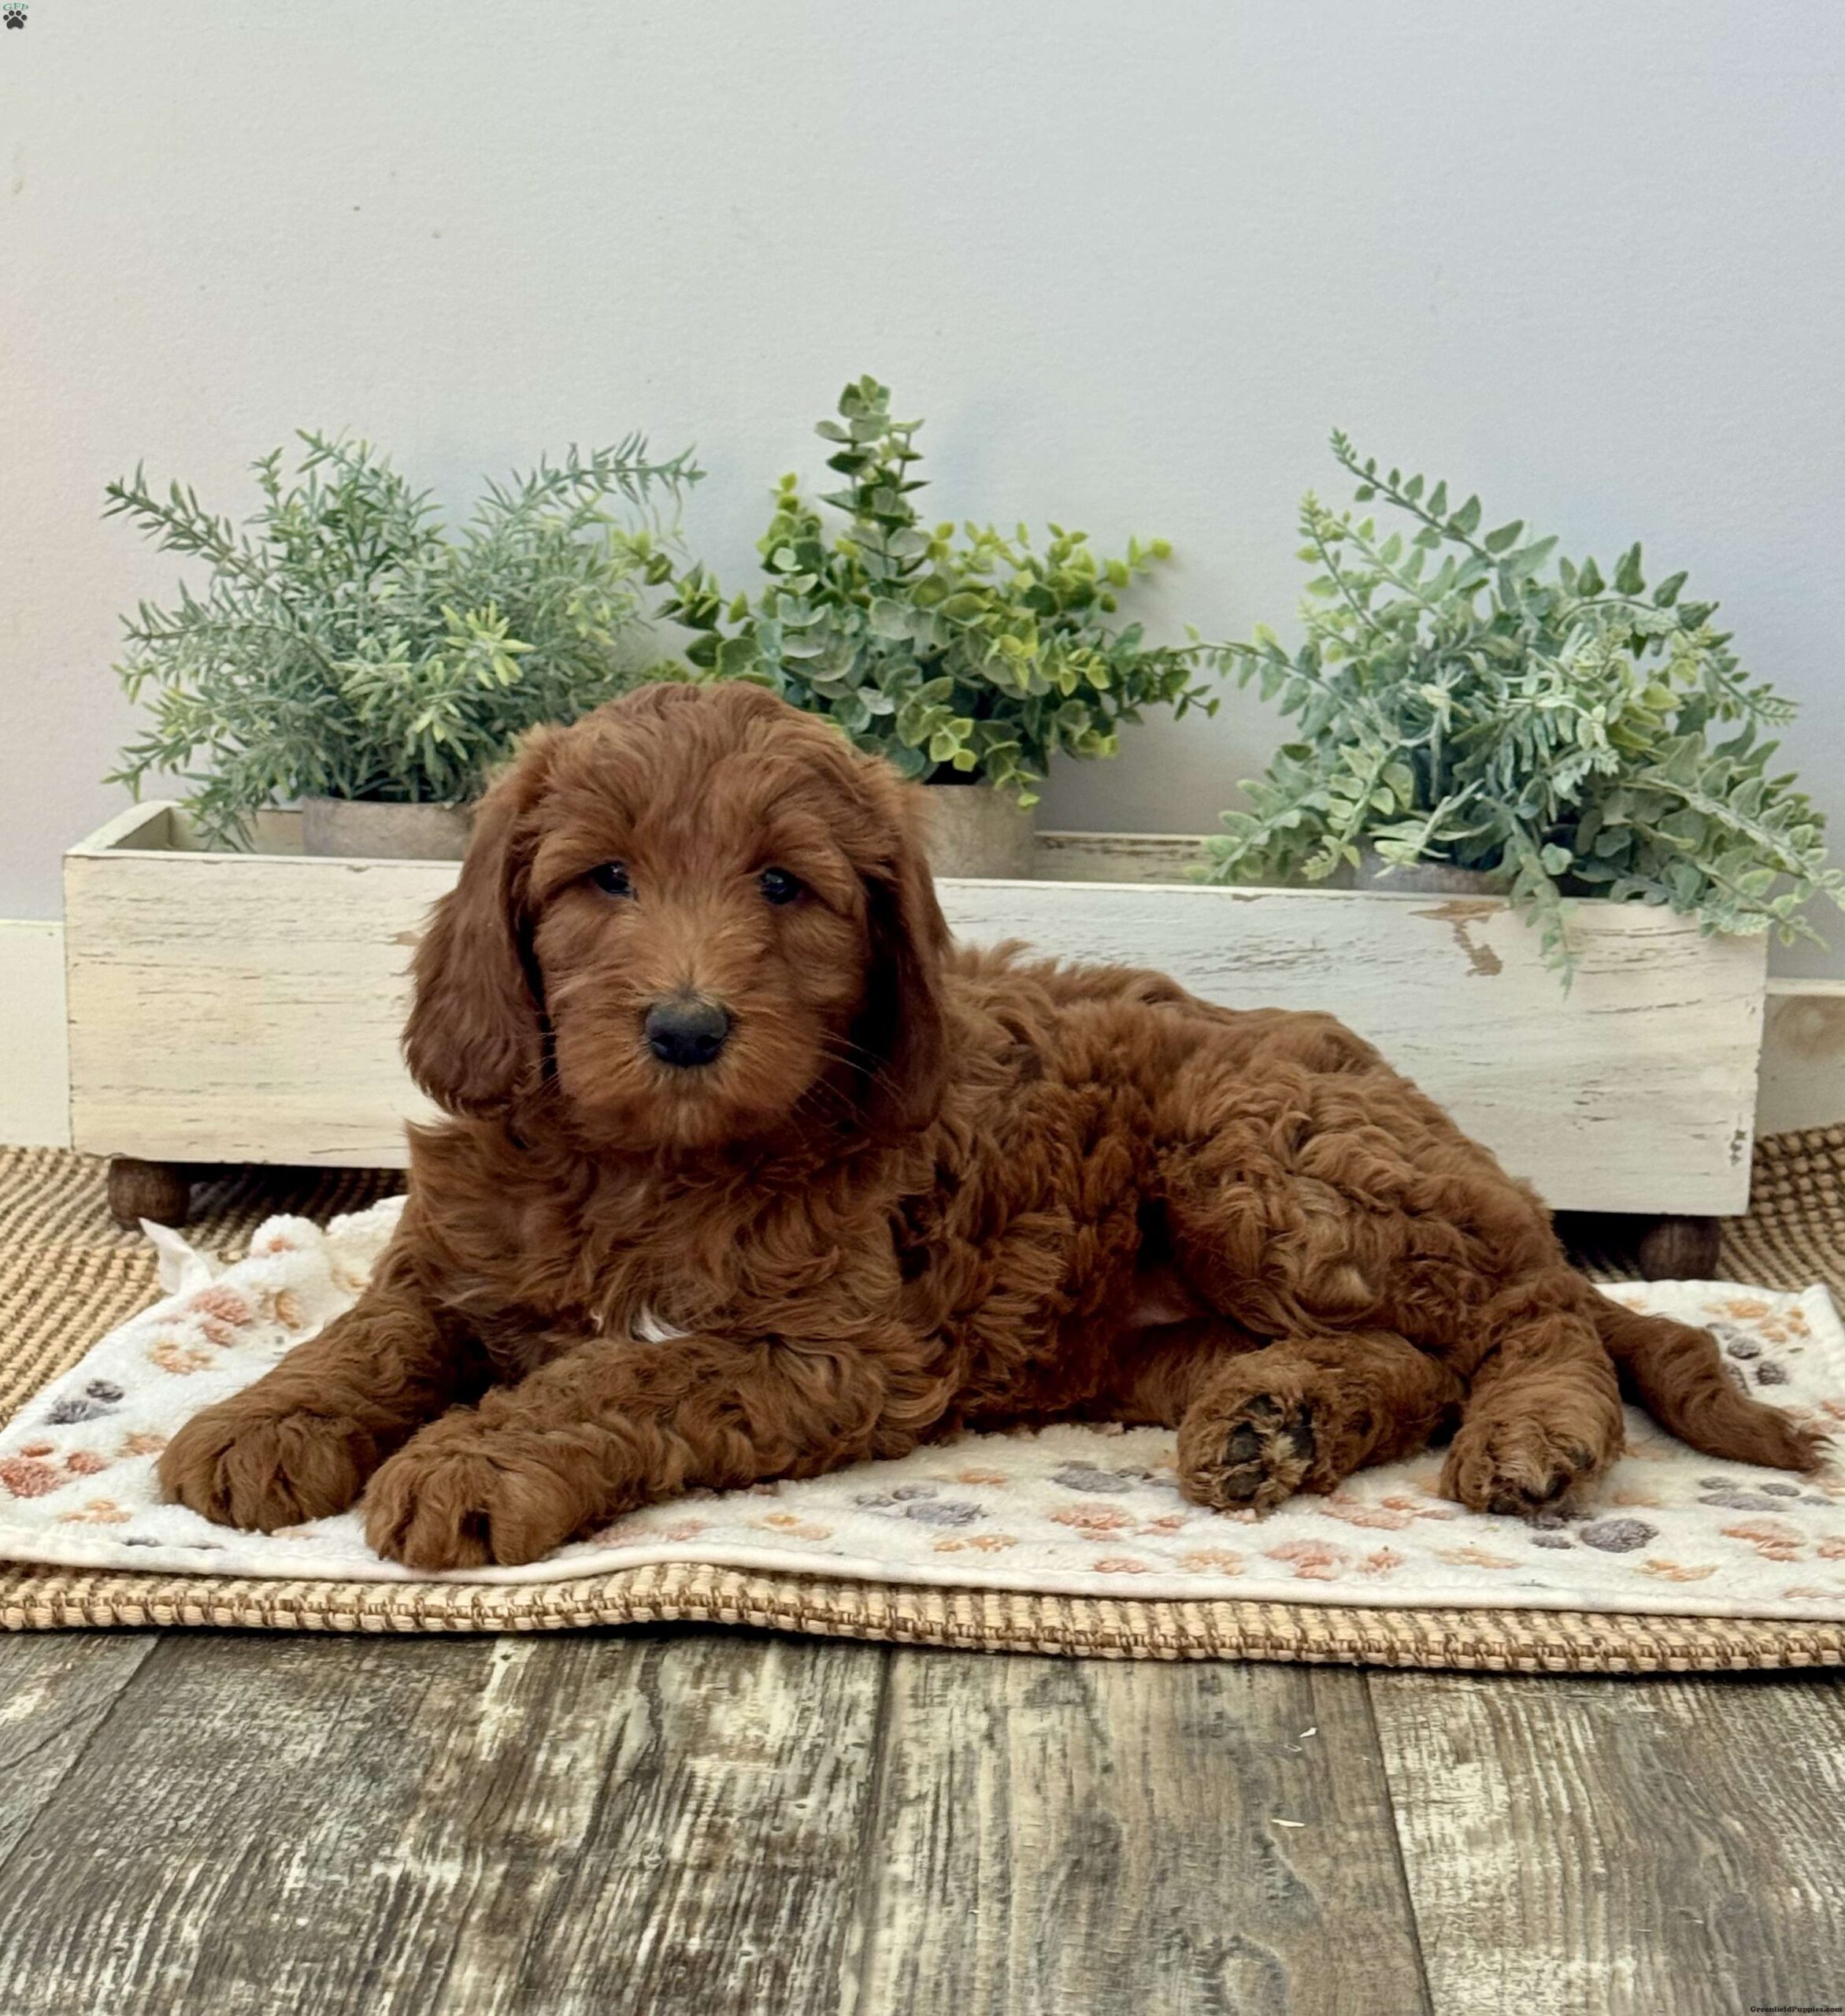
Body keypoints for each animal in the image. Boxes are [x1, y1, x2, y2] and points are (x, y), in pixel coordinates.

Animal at [159, 681, 1822, 1568]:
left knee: (1538, 1314)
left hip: (1256, 1151)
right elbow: (379, 1326)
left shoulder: (829, 1349)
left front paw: (467, 1465)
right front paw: (259, 1422)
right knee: (1410, 1358)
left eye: (784, 886)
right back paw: (1273, 1423)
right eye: (601, 881)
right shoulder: (463, 1253)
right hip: (1162, 1322)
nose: (687, 1029)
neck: (650, 1165)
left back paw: (1531, 1435)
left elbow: (616, 1377)